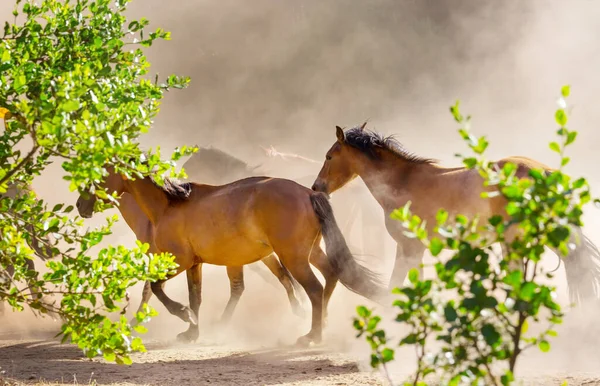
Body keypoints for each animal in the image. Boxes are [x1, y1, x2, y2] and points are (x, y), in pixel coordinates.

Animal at [75, 164, 386, 346]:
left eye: (100, 176)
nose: (80, 205)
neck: (168, 206)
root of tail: (308, 193)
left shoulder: (178, 262)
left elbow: (156, 288)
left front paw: (183, 315)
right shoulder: (194, 264)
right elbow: (196, 297)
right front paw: (192, 331)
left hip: (294, 257)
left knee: (314, 289)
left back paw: (312, 336)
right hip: (310, 252)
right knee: (330, 276)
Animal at [310, 123, 600, 304]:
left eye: (329, 156)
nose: (316, 187)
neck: (403, 183)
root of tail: (544, 171)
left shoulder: (409, 248)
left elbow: (395, 288)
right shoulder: (413, 250)